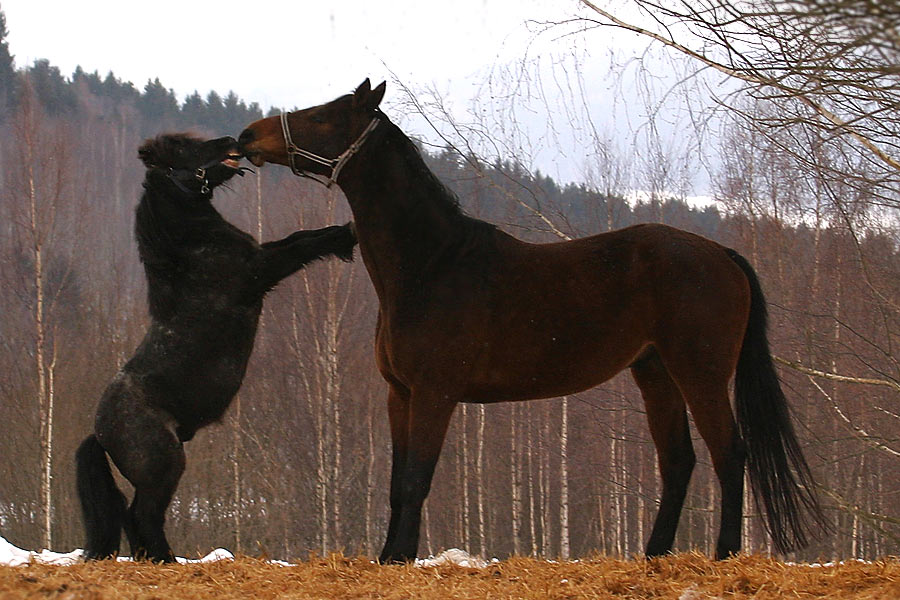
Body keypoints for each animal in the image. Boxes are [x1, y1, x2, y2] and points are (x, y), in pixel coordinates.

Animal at [75, 134, 356, 560]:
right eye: (181, 150)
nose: (231, 141)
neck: (192, 254)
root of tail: (100, 431)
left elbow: (299, 238)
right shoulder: (259, 271)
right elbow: (302, 246)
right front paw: (348, 235)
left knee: (133, 519)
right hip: (165, 467)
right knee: (143, 515)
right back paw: (168, 560)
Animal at [236, 79, 828, 564]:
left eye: (324, 117)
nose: (247, 136)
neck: (433, 263)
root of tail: (721, 254)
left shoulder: (434, 392)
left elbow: (415, 480)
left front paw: (401, 557)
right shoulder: (399, 393)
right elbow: (395, 483)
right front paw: (388, 557)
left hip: (699, 374)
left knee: (730, 454)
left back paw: (724, 555)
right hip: (655, 373)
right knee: (678, 462)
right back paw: (654, 555)